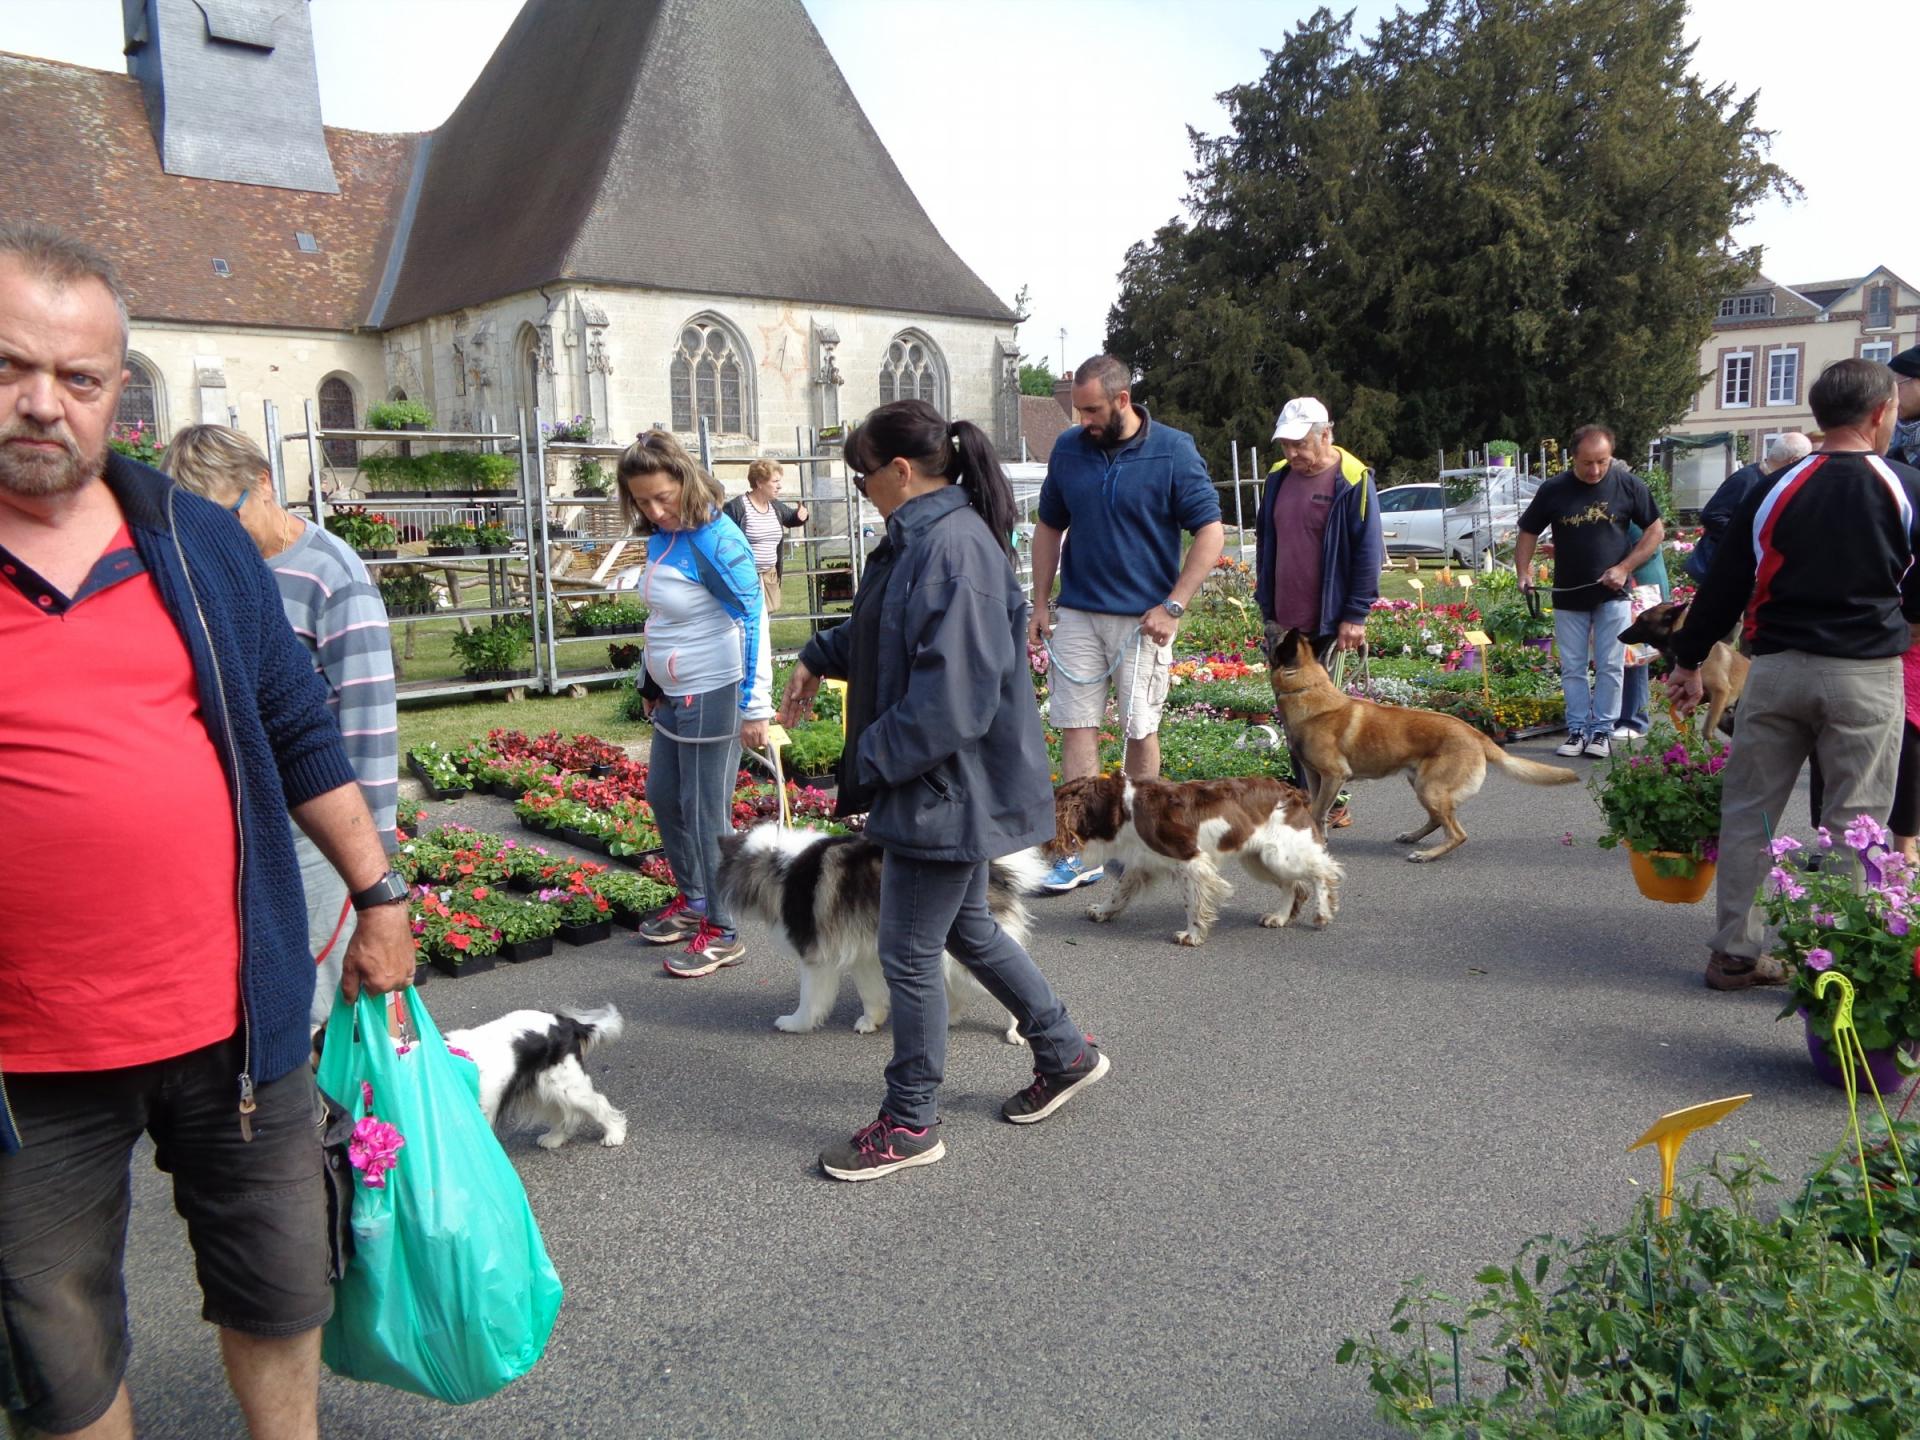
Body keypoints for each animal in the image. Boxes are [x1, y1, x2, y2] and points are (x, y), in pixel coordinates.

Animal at [1267, 629, 1582, 856]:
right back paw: (1413, 837)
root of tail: (1477, 735)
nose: (1268, 629)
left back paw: (1428, 855)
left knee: (1457, 833)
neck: (1306, 688)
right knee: (1437, 820)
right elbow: (1316, 811)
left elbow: (1318, 811)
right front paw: (1318, 838)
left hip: (1429, 788)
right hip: (1420, 784)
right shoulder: (1316, 776)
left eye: (1277, 641)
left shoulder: (1335, 776)